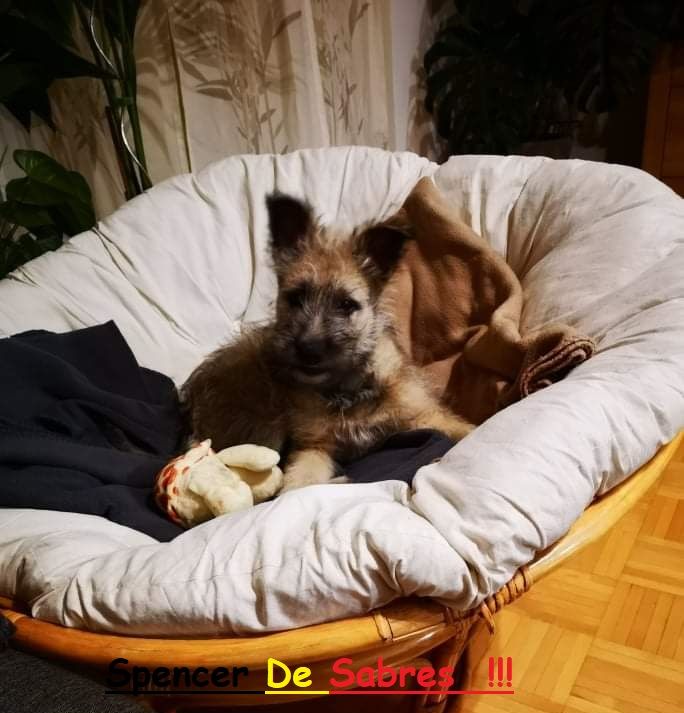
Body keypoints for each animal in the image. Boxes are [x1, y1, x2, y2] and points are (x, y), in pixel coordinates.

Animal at [181, 193, 473, 491]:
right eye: (295, 298)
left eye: (346, 304)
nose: (308, 350)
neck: (347, 391)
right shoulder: (313, 446)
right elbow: (298, 487)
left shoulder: (424, 414)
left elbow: (463, 429)